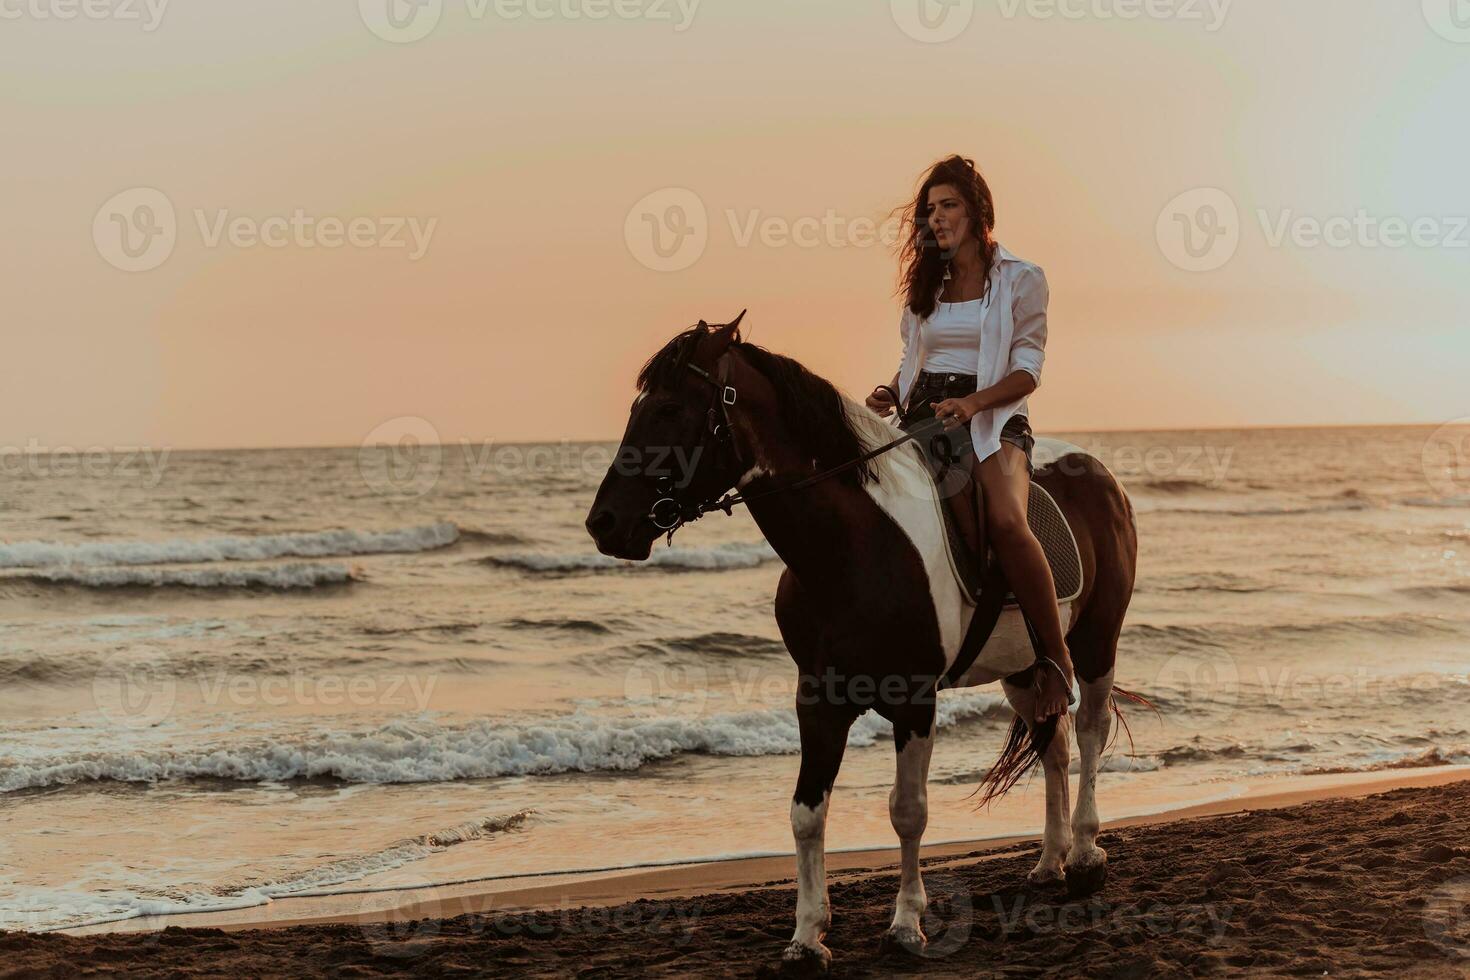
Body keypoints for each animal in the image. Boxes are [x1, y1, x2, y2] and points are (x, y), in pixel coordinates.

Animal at [582, 315, 1134, 975]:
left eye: (669, 408)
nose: (604, 524)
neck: (853, 546)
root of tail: (1102, 479)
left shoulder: (913, 699)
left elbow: (908, 810)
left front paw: (905, 926)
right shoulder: (818, 700)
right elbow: (806, 813)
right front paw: (806, 938)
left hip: (1097, 642)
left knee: (1090, 731)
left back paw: (1084, 857)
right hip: (1027, 668)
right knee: (1053, 745)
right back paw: (1050, 863)